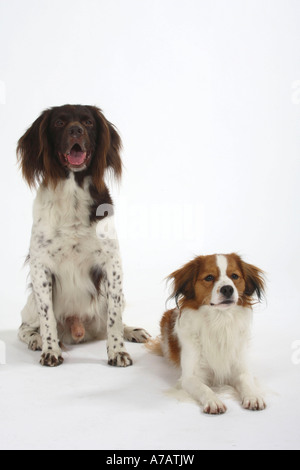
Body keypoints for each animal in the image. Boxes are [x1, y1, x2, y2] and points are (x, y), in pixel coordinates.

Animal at [148, 253, 268, 414]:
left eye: (234, 276)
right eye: (209, 277)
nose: (227, 289)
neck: (219, 321)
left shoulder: (240, 368)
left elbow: (246, 381)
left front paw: (253, 397)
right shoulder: (190, 377)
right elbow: (204, 388)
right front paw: (214, 401)